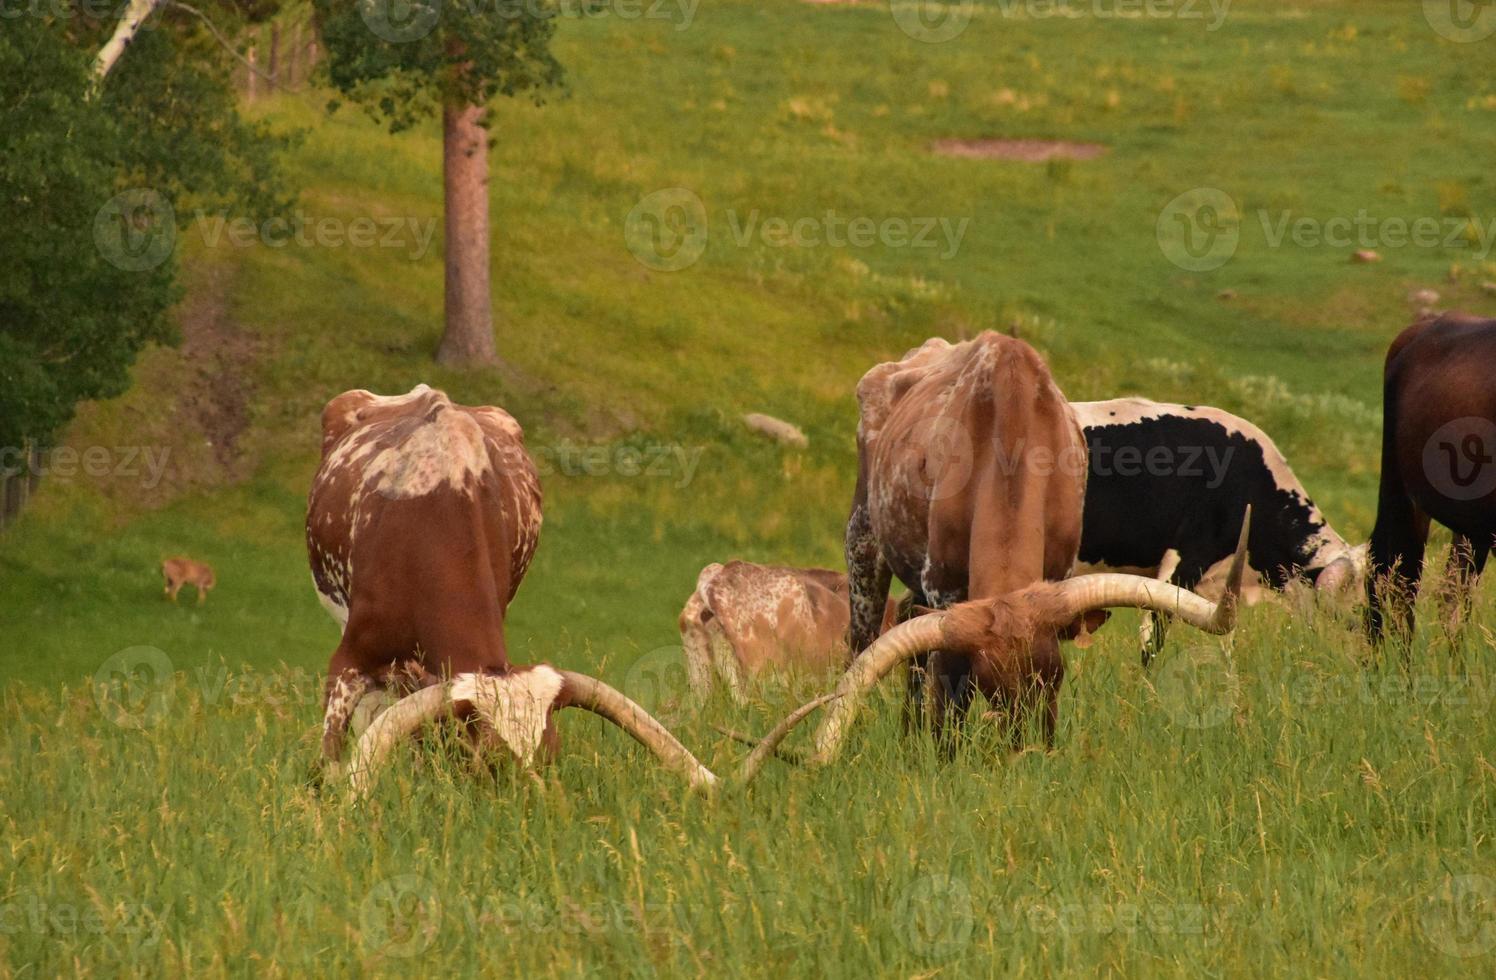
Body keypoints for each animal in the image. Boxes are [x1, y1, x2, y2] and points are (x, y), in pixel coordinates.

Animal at [306, 383, 807, 795]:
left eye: (549, 754)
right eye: (493, 759)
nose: (536, 807)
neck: (435, 523)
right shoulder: (349, 661)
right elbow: (332, 763)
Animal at [843, 333, 1250, 748]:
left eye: (1055, 677)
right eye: (990, 684)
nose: (1031, 751)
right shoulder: (945, 589)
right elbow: (949, 696)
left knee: (907, 623)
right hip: (863, 541)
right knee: (863, 642)